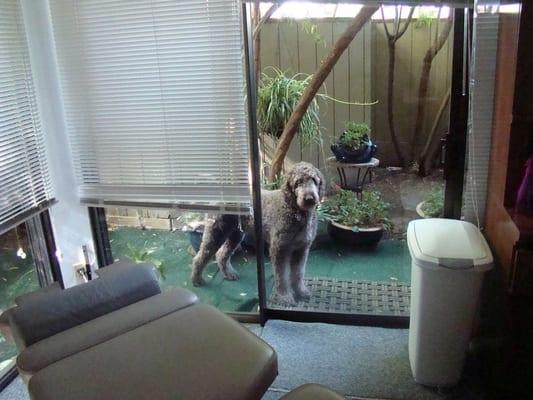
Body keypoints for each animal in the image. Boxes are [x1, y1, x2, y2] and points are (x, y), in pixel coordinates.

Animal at [191, 162, 324, 306]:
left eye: (314, 180)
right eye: (298, 182)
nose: (310, 199)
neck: (295, 211)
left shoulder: (302, 249)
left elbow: (298, 273)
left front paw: (300, 291)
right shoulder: (279, 249)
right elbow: (282, 276)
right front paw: (285, 297)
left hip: (235, 234)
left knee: (221, 254)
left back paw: (229, 274)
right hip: (216, 232)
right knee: (201, 257)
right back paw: (197, 280)